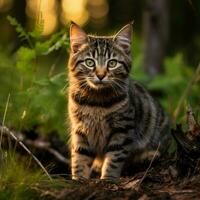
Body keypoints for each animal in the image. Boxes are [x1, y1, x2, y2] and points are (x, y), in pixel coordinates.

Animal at [67, 21, 170, 180]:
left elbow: (114, 159)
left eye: (112, 63)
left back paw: (146, 155)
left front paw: (108, 179)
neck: (96, 101)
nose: (101, 75)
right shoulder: (80, 129)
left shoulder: (122, 129)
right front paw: (78, 179)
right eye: (90, 62)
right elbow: (79, 158)